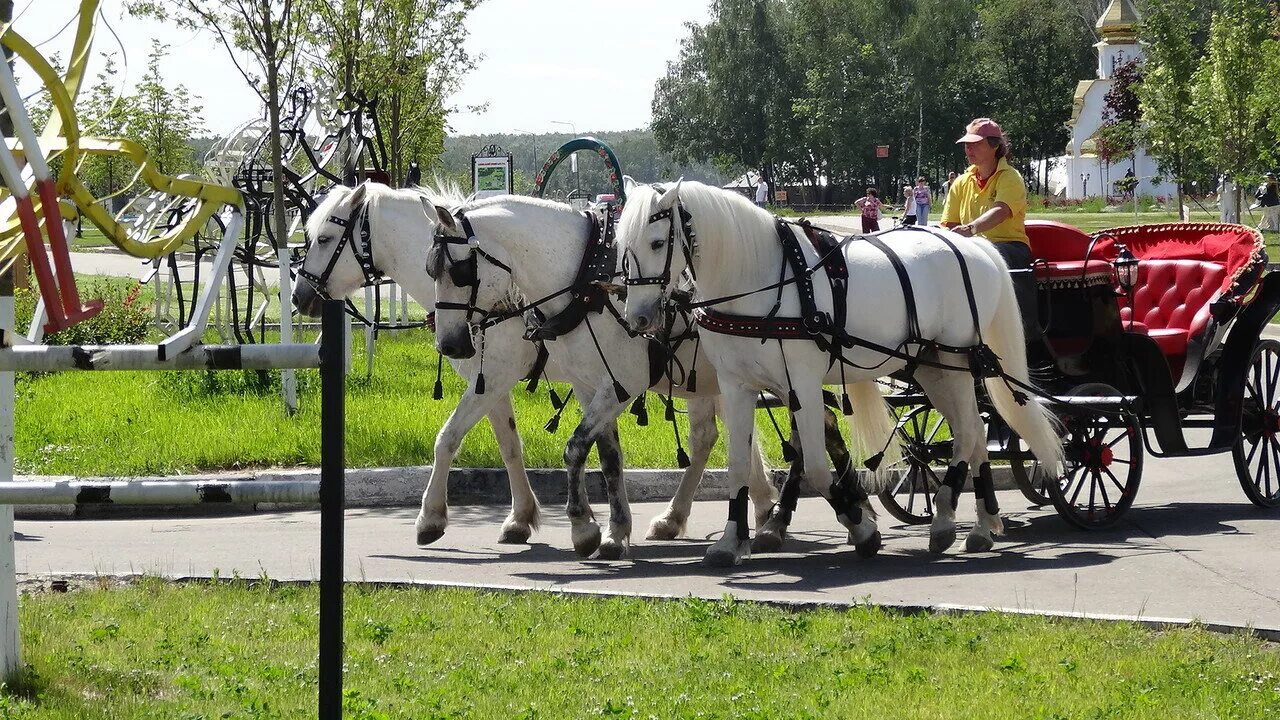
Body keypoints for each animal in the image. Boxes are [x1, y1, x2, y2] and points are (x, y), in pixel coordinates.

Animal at [291, 180, 545, 543]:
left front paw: (431, 517)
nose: (299, 296)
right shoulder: (489, 383)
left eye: (324, 238)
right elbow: (509, 445)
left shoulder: (496, 376)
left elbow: (447, 439)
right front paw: (520, 517)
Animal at [614, 179, 1064, 566]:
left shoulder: (802, 383)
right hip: (932, 368)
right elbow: (739, 464)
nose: (638, 318)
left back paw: (944, 520)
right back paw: (981, 525)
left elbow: (815, 465)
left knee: (970, 433)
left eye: (657, 242)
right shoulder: (736, 386)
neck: (761, 279)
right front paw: (730, 540)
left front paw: (860, 526)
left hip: (954, 363)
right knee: (973, 433)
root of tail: (973, 245)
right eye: (621, 246)